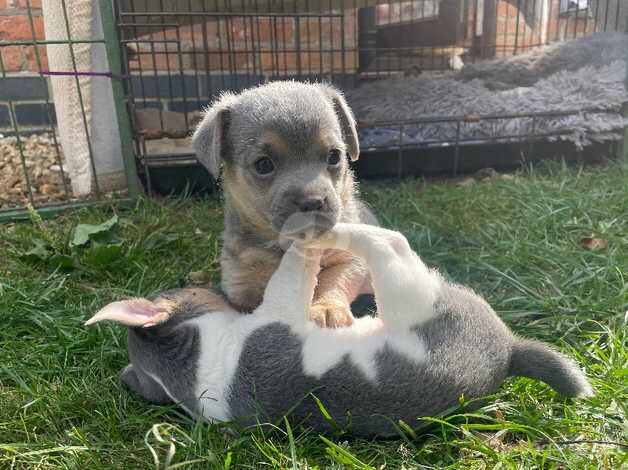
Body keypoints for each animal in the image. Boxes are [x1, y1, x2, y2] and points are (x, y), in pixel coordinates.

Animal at [84, 224, 592, 436]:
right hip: (407, 287)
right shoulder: (280, 307)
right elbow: (294, 267)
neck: (189, 365)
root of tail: (509, 352)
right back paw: (336, 226)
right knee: (390, 242)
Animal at [191, 80, 378, 326]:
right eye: (263, 165)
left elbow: (333, 280)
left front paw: (327, 309)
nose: (313, 202)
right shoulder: (240, 282)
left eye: (334, 156)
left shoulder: (348, 259)